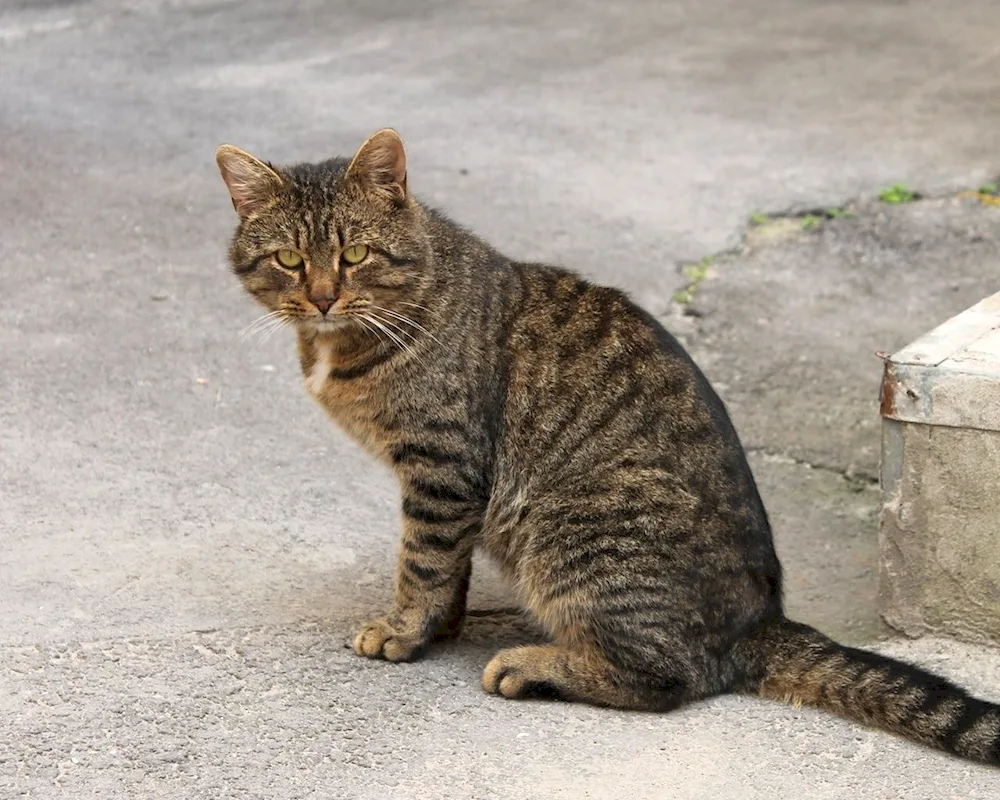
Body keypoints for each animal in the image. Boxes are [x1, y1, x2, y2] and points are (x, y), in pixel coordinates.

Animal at [215, 130, 1000, 764]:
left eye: (354, 254)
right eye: (289, 259)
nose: (321, 296)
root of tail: (761, 620)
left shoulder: (443, 467)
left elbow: (422, 562)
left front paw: (406, 631)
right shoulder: (451, 487)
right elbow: (449, 567)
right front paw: (442, 626)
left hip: (573, 526)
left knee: (667, 680)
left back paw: (533, 664)